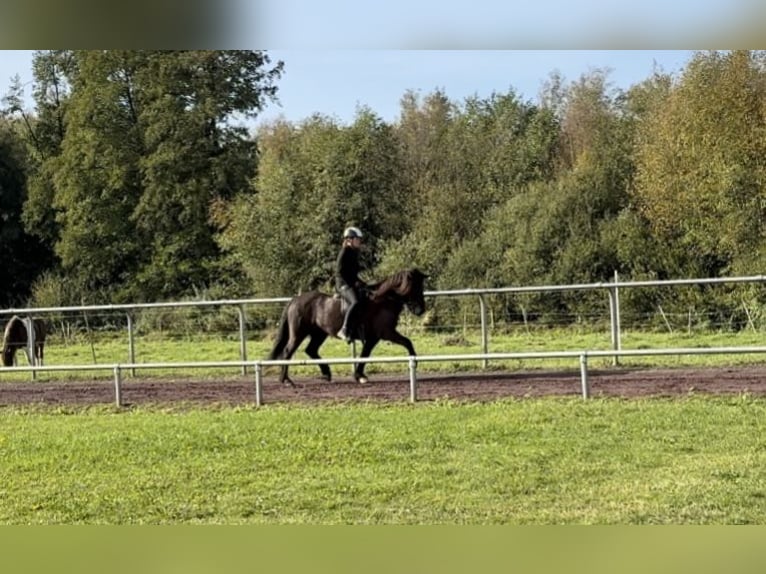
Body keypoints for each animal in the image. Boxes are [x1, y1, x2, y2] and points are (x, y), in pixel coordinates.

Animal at [268, 268, 427, 385]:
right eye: (415, 288)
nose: (421, 310)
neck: (383, 300)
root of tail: (295, 300)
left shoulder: (373, 338)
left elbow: (365, 355)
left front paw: (359, 375)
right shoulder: (386, 333)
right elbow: (407, 342)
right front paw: (414, 361)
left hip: (319, 334)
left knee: (311, 350)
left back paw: (326, 373)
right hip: (299, 333)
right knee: (288, 351)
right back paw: (286, 380)